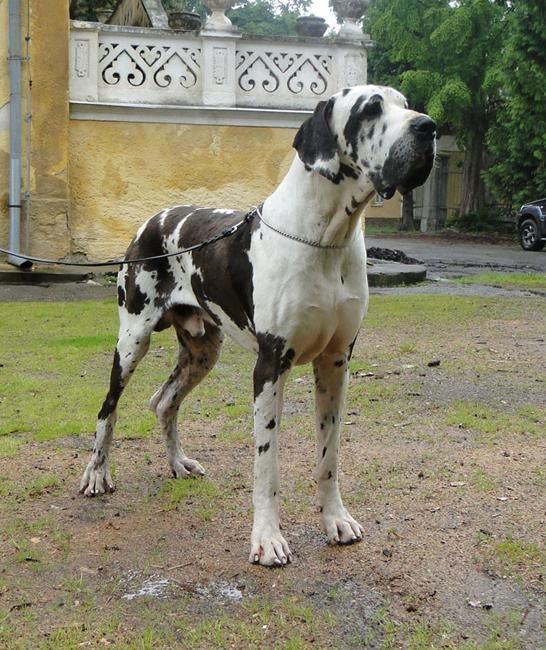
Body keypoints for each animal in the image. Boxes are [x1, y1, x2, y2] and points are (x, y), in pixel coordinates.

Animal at [80, 85, 436, 566]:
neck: (327, 238)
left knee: (164, 402)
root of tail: (153, 218)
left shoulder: (336, 364)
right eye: (370, 109)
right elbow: (266, 466)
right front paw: (267, 539)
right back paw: (97, 473)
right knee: (108, 410)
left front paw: (335, 520)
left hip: (202, 352)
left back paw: (178, 463)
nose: (429, 127)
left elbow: (329, 457)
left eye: (406, 104)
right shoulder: (270, 366)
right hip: (132, 341)